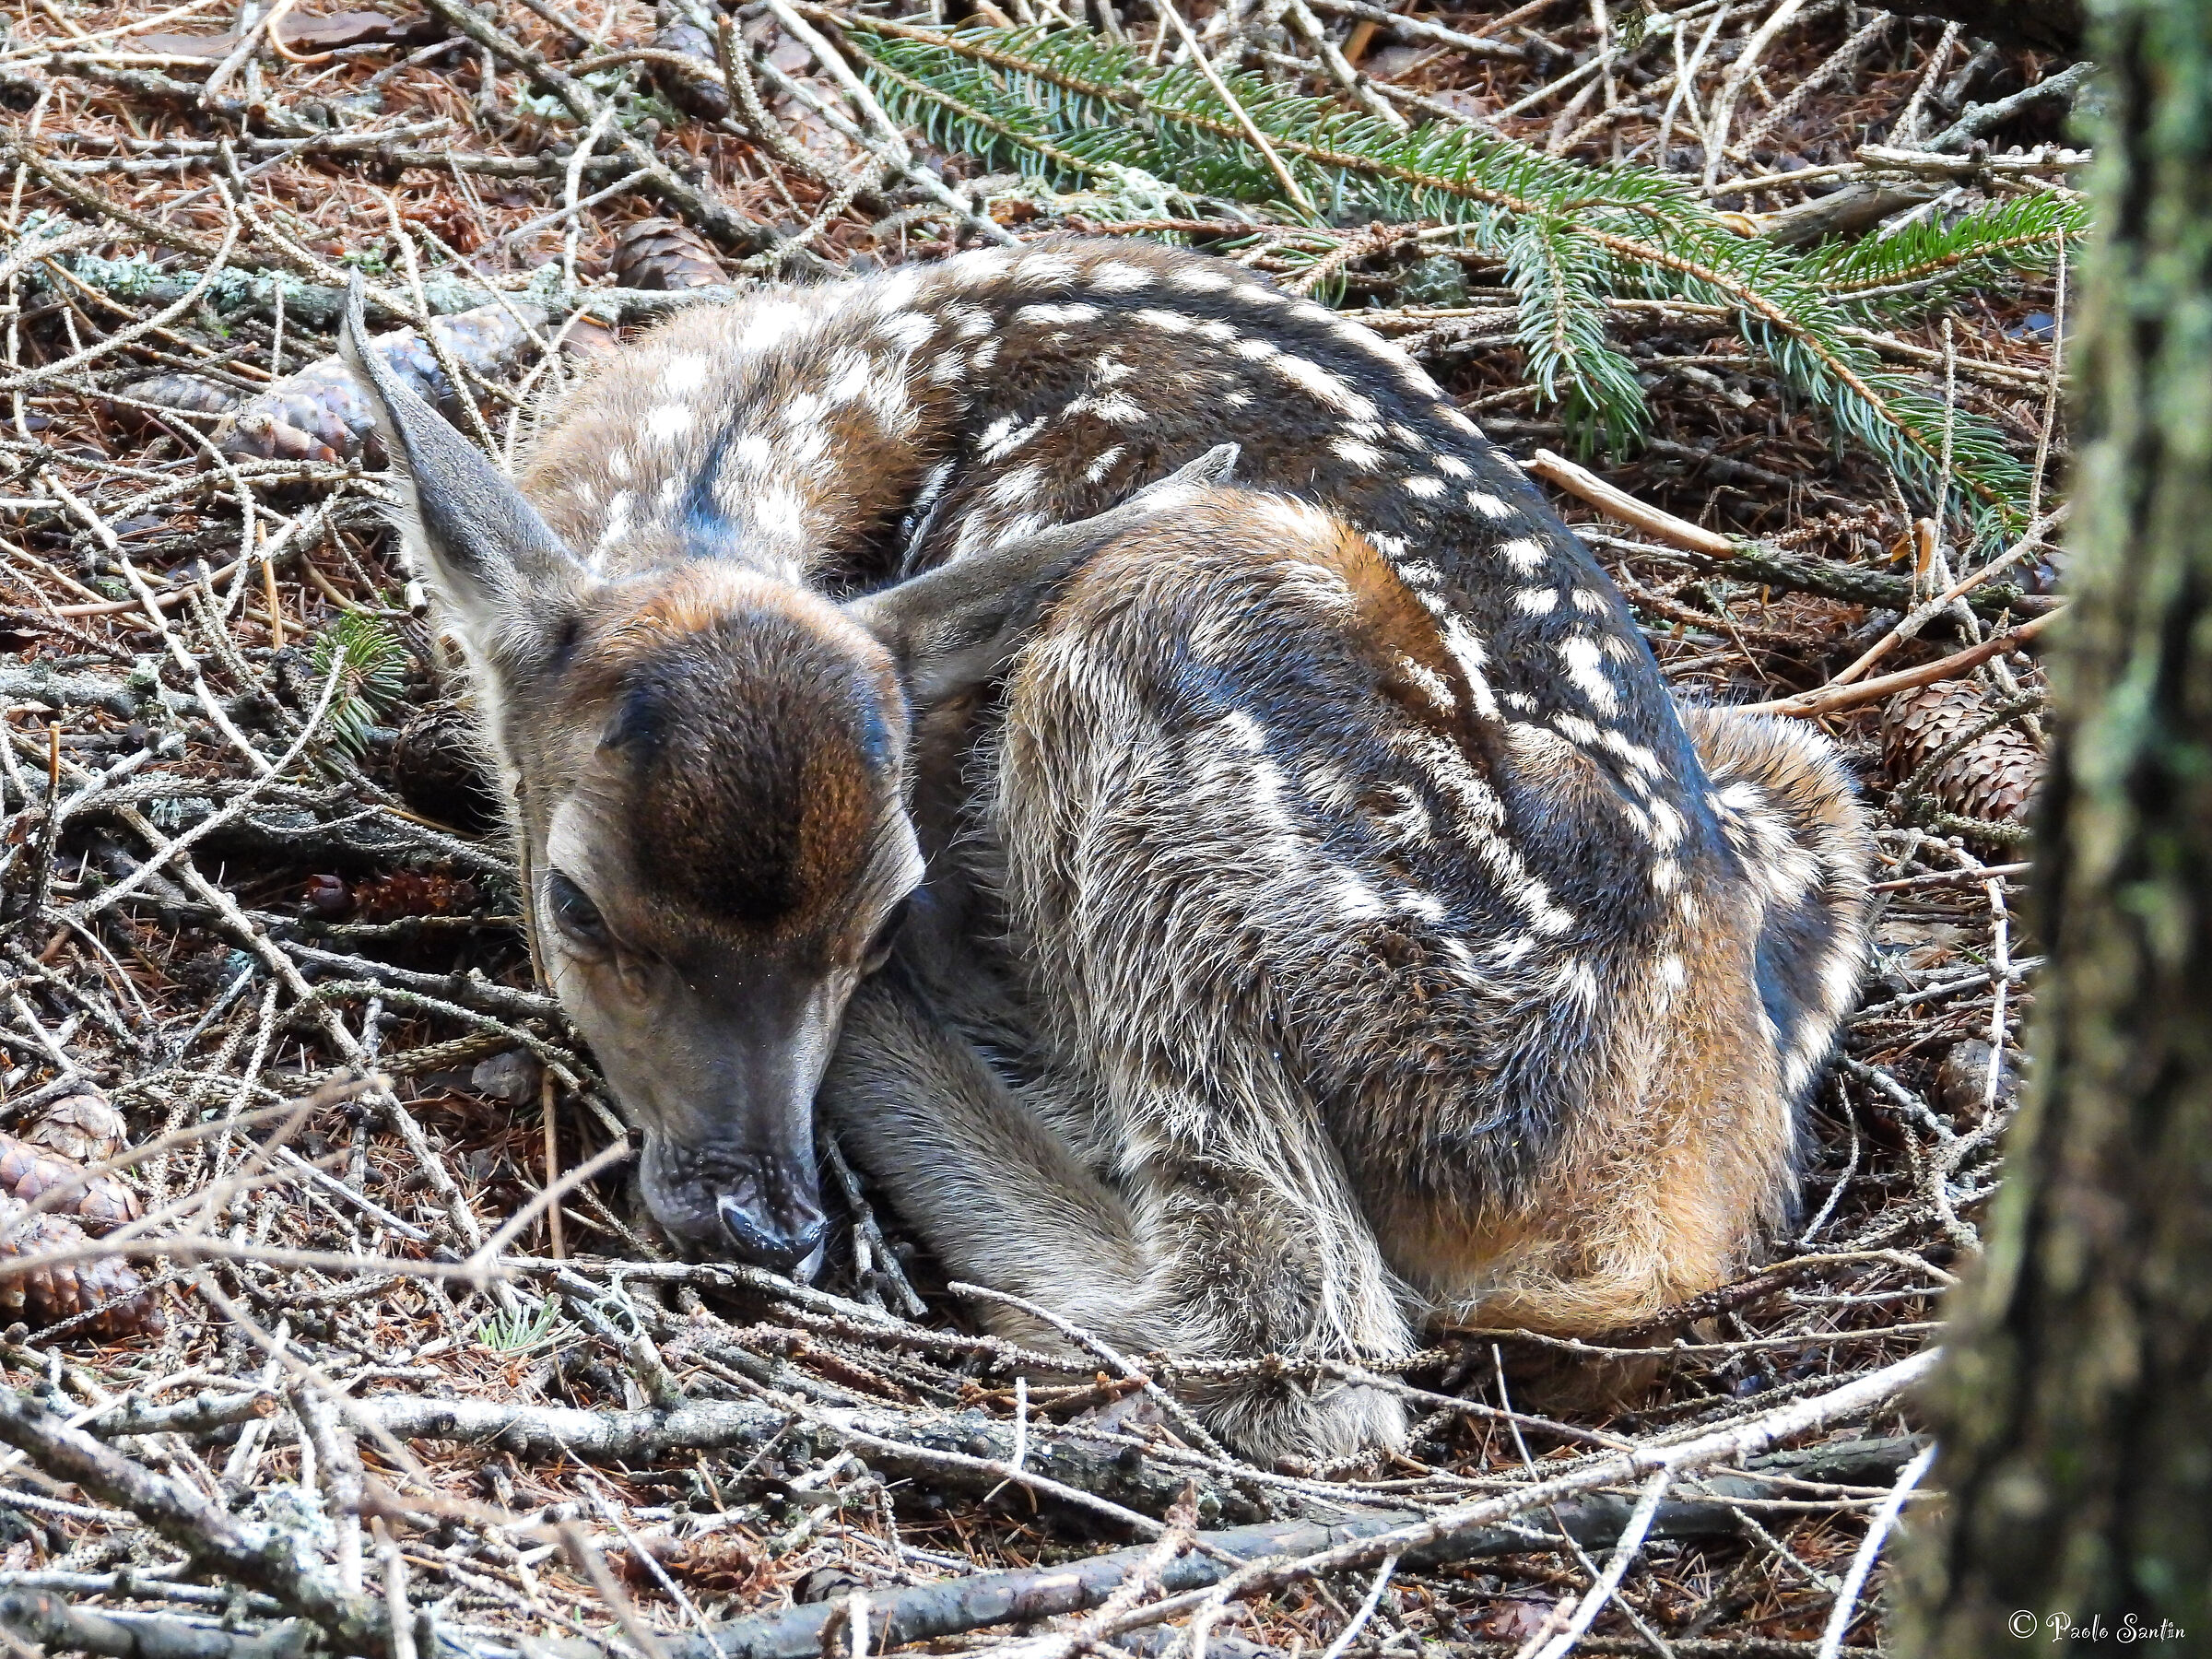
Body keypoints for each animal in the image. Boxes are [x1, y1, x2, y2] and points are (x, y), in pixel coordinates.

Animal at [342, 236, 1871, 1461]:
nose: (758, 1219)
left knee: (1291, 1329)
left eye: (876, 922)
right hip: (1797, 784)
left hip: (1183, 653)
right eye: (577, 906)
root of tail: (1664, 1178)